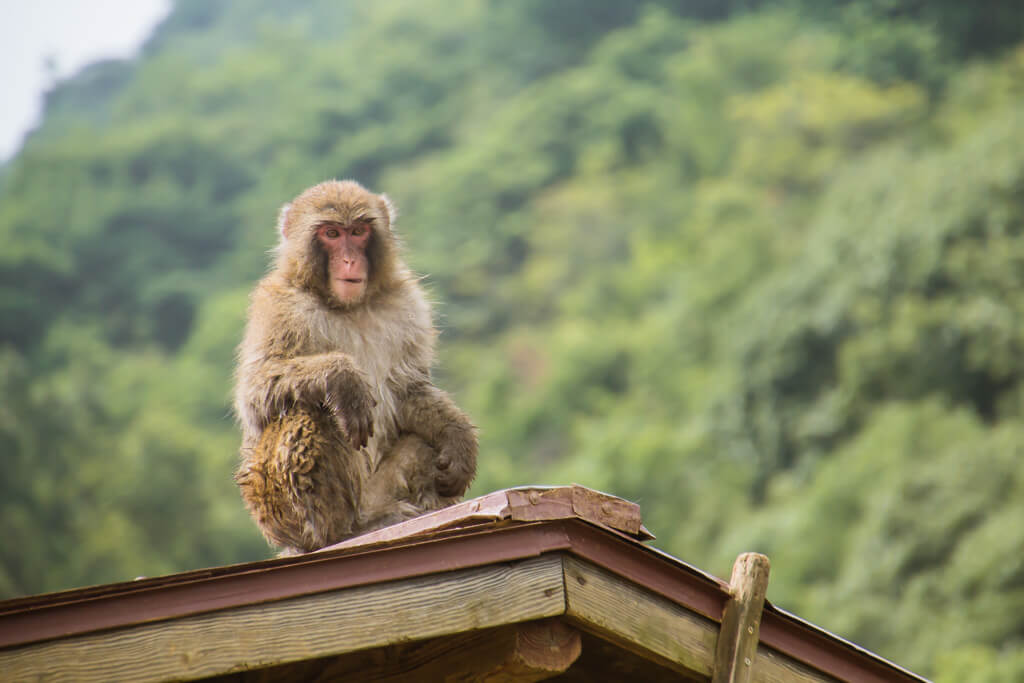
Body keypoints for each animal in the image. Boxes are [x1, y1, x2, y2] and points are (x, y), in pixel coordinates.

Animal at [235, 180, 479, 557]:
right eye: (332, 233)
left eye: (359, 231)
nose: (350, 259)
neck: (348, 306)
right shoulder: (278, 306)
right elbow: (256, 393)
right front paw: (343, 378)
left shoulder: (408, 306)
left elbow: (409, 390)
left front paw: (458, 437)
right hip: (275, 509)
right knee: (309, 410)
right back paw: (339, 533)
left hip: (377, 491)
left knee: (420, 442)